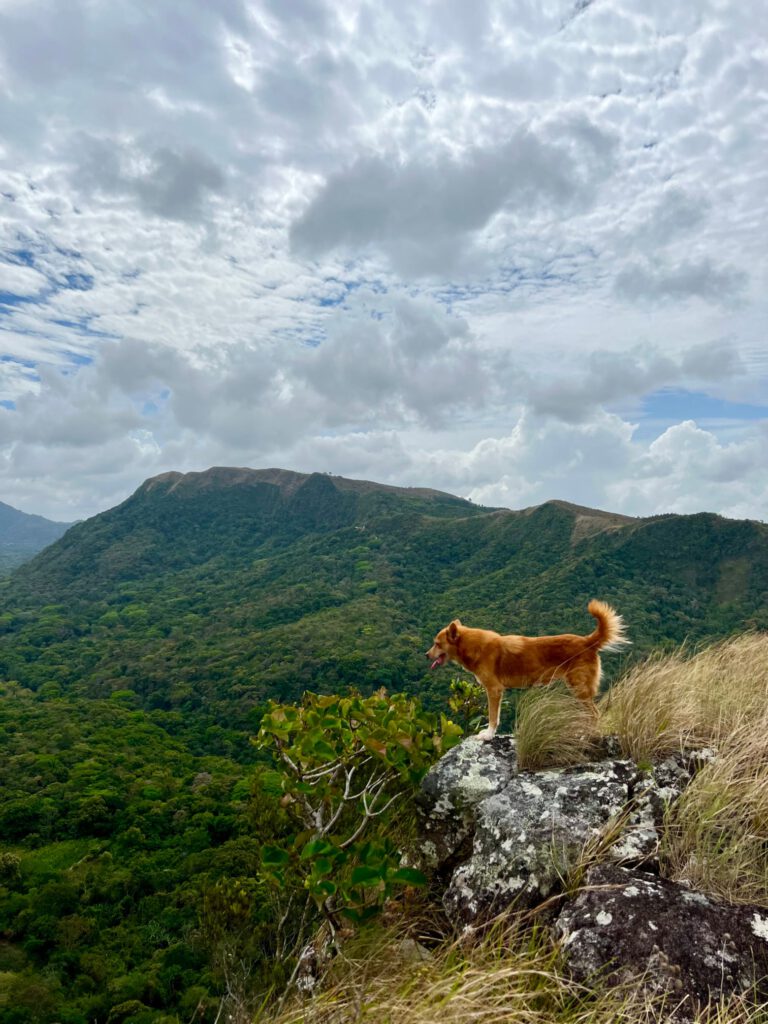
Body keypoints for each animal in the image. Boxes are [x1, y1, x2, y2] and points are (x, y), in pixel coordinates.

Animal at [428, 598, 630, 741]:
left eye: (437, 644)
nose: (426, 655)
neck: (472, 646)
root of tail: (587, 641)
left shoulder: (494, 689)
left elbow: (493, 716)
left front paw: (488, 735)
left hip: (579, 687)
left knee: (595, 714)